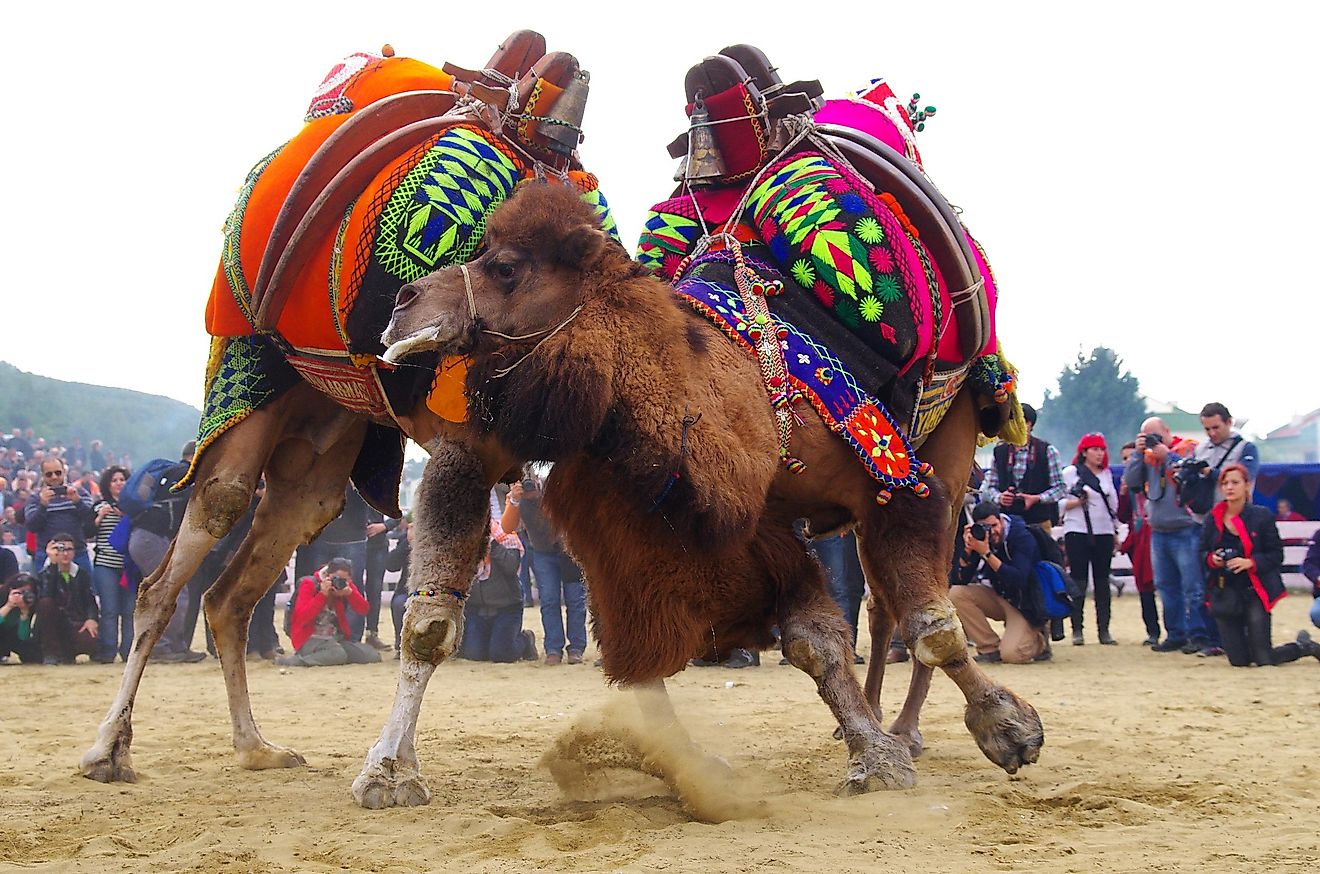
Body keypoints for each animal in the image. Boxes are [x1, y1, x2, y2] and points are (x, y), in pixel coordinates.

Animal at [361, 180, 1040, 813]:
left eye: (506, 266)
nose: (403, 302)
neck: (743, 395)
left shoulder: (892, 481)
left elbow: (931, 625)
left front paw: (1007, 729)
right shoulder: (733, 525)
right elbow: (804, 640)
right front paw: (389, 771)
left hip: (952, 450)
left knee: (910, 598)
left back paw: (908, 727)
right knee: (878, 606)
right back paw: (882, 720)